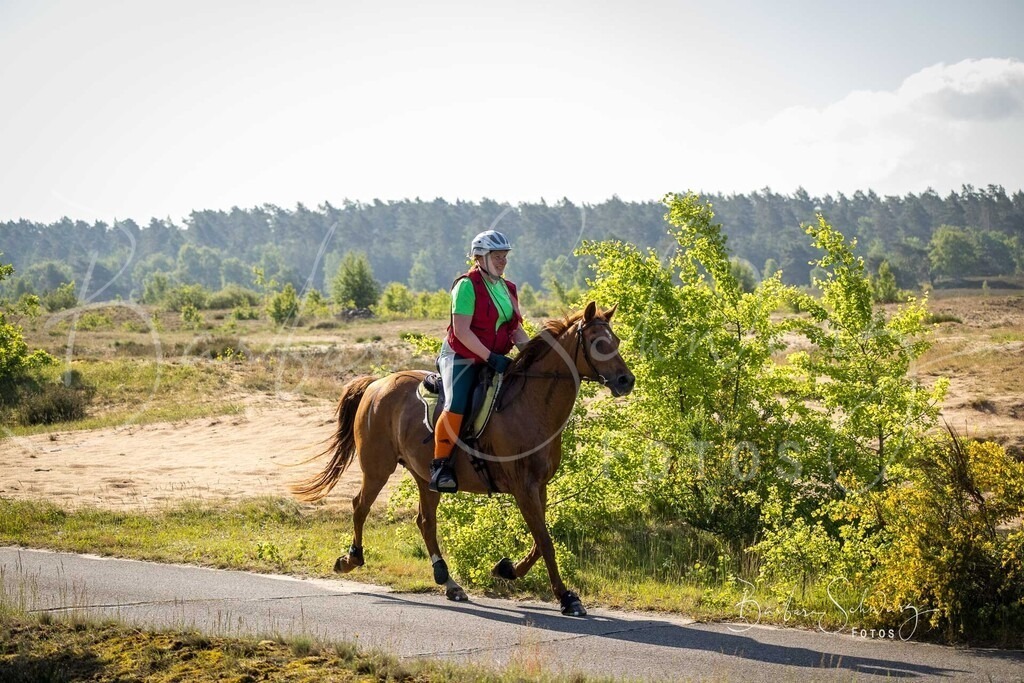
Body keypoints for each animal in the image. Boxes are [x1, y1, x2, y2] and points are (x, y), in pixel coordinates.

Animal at [291, 301, 635, 616]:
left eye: (615, 340)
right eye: (598, 343)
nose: (626, 381)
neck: (531, 405)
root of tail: (376, 384)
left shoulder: (539, 486)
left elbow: (540, 541)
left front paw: (506, 569)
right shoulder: (523, 488)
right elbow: (546, 541)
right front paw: (566, 597)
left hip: (424, 476)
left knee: (425, 521)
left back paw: (448, 581)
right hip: (378, 468)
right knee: (360, 506)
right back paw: (351, 559)